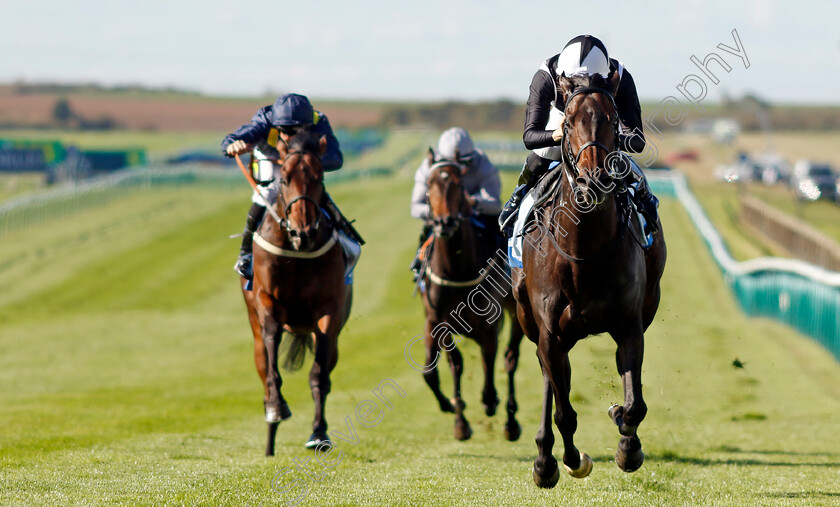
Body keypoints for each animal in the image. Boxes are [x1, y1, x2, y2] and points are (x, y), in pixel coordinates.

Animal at [240, 130, 352, 456]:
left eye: (318, 177)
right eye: (285, 178)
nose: (304, 232)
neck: (297, 253)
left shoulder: (329, 311)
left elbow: (319, 376)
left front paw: (319, 433)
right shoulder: (266, 299)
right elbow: (272, 350)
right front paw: (277, 407)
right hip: (254, 332)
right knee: (264, 369)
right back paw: (270, 432)